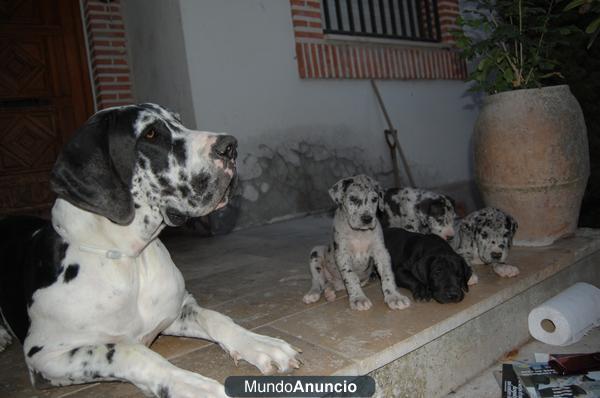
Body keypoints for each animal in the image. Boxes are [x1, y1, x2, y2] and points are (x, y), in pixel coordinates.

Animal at [0, 103, 300, 398]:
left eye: (179, 121)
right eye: (151, 134)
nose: (230, 146)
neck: (129, 257)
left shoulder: (178, 309)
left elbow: (216, 317)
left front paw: (260, 344)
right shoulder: (46, 354)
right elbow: (129, 350)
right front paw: (193, 385)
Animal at [302, 175, 410, 310]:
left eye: (374, 199)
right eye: (353, 198)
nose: (367, 219)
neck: (359, 233)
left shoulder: (381, 252)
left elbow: (387, 274)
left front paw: (394, 296)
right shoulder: (343, 255)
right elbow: (351, 277)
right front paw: (359, 298)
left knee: (329, 285)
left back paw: (329, 293)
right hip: (316, 253)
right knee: (317, 281)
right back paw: (313, 293)